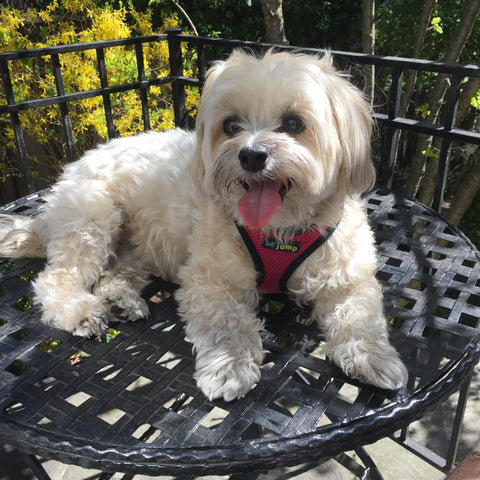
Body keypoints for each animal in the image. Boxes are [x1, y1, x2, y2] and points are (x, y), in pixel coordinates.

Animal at [0, 48, 408, 402]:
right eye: (230, 126)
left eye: (294, 123)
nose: (251, 155)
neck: (280, 228)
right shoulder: (209, 280)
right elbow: (226, 321)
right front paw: (230, 366)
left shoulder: (349, 277)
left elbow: (360, 316)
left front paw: (375, 357)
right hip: (93, 214)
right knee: (57, 279)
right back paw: (81, 311)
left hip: (136, 245)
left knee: (114, 274)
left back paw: (119, 301)